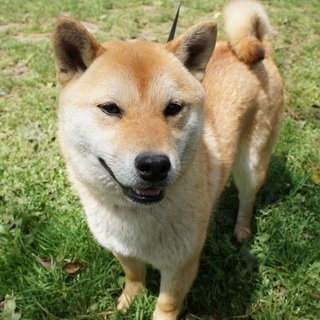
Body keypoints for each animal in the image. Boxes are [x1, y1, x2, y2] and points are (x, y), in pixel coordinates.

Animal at [53, 0, 284, 318]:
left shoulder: (182, 263)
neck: (137, 217)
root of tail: (257, 45)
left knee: (247, 200)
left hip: (251, 165)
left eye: (173, 108)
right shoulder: (122, 249)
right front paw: (129, 299)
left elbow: (167, 304)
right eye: (110, 108)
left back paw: (241, 230)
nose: (155, 165)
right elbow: (133, 275)